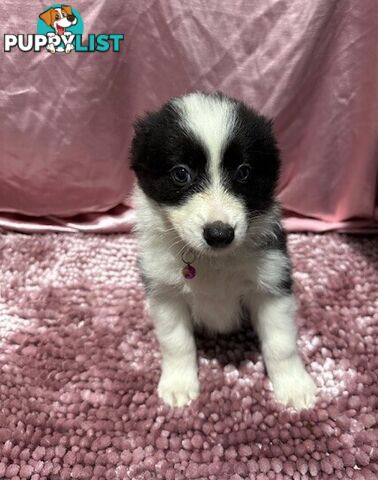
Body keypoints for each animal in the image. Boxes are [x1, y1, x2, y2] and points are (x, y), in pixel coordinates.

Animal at [130, 93, 316, 408]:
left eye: (244, 172)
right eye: (181, 173)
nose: (219, 234)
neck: (212, 261)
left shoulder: (271, 281)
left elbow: (281, 343)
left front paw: (293, 386)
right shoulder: (165, 291)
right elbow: (175, 341)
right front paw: (179, 384)